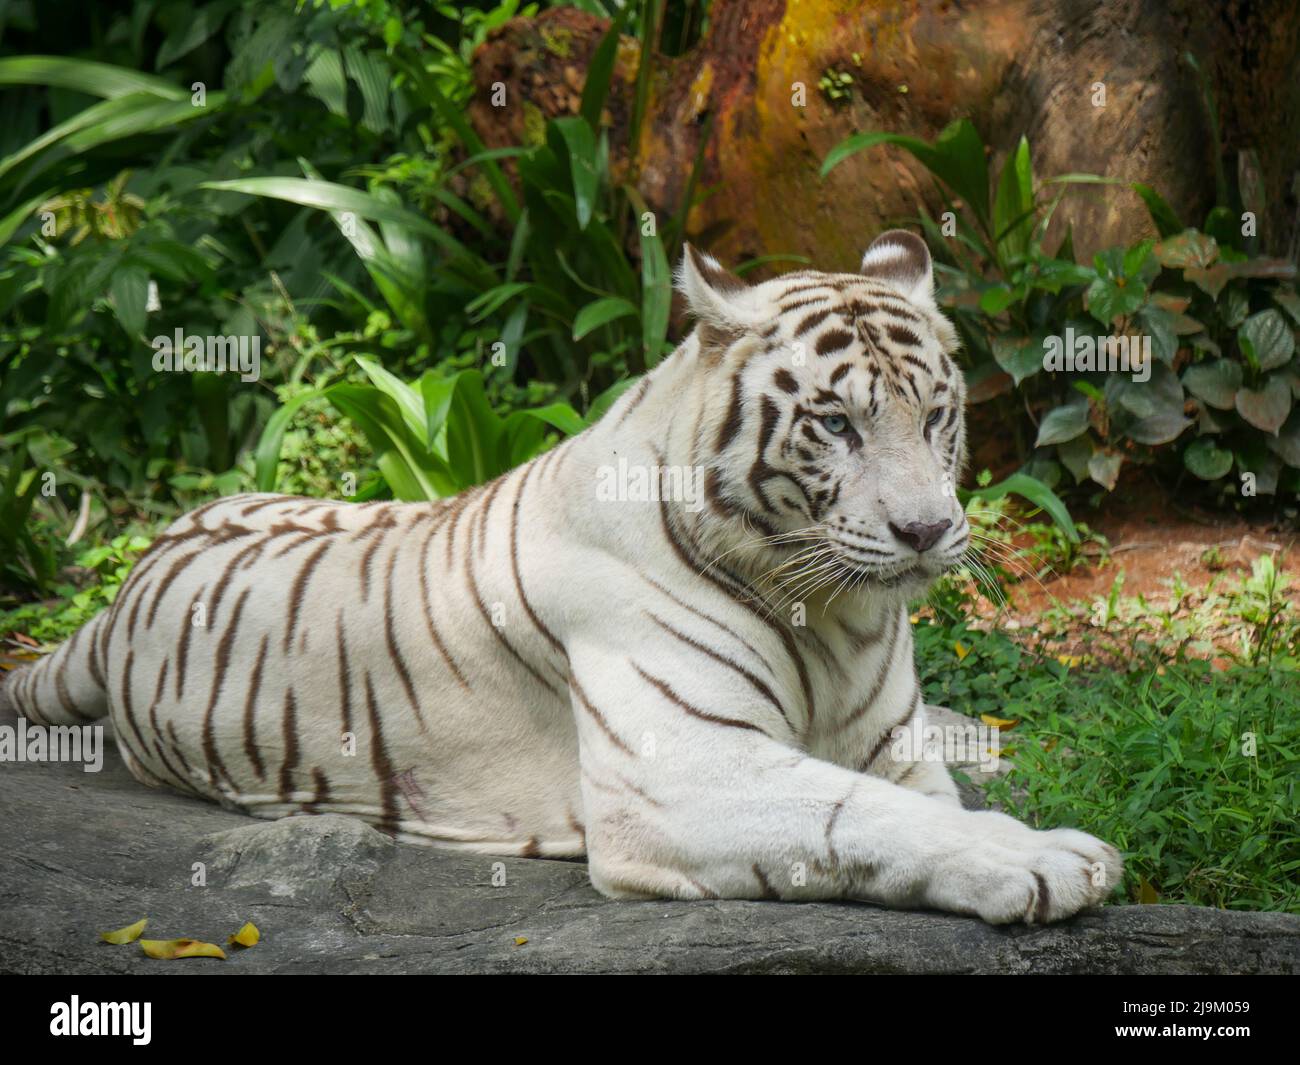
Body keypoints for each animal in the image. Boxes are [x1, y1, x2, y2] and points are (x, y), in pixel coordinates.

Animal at [5, 231, 1123, 925]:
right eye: (838, 423)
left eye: (936, 415)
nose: (928, 529)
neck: (834, 617)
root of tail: (121, 592)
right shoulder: (680, 771)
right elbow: (869, 817)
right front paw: (1048, 859)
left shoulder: (894, 749)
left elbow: (926, 801)